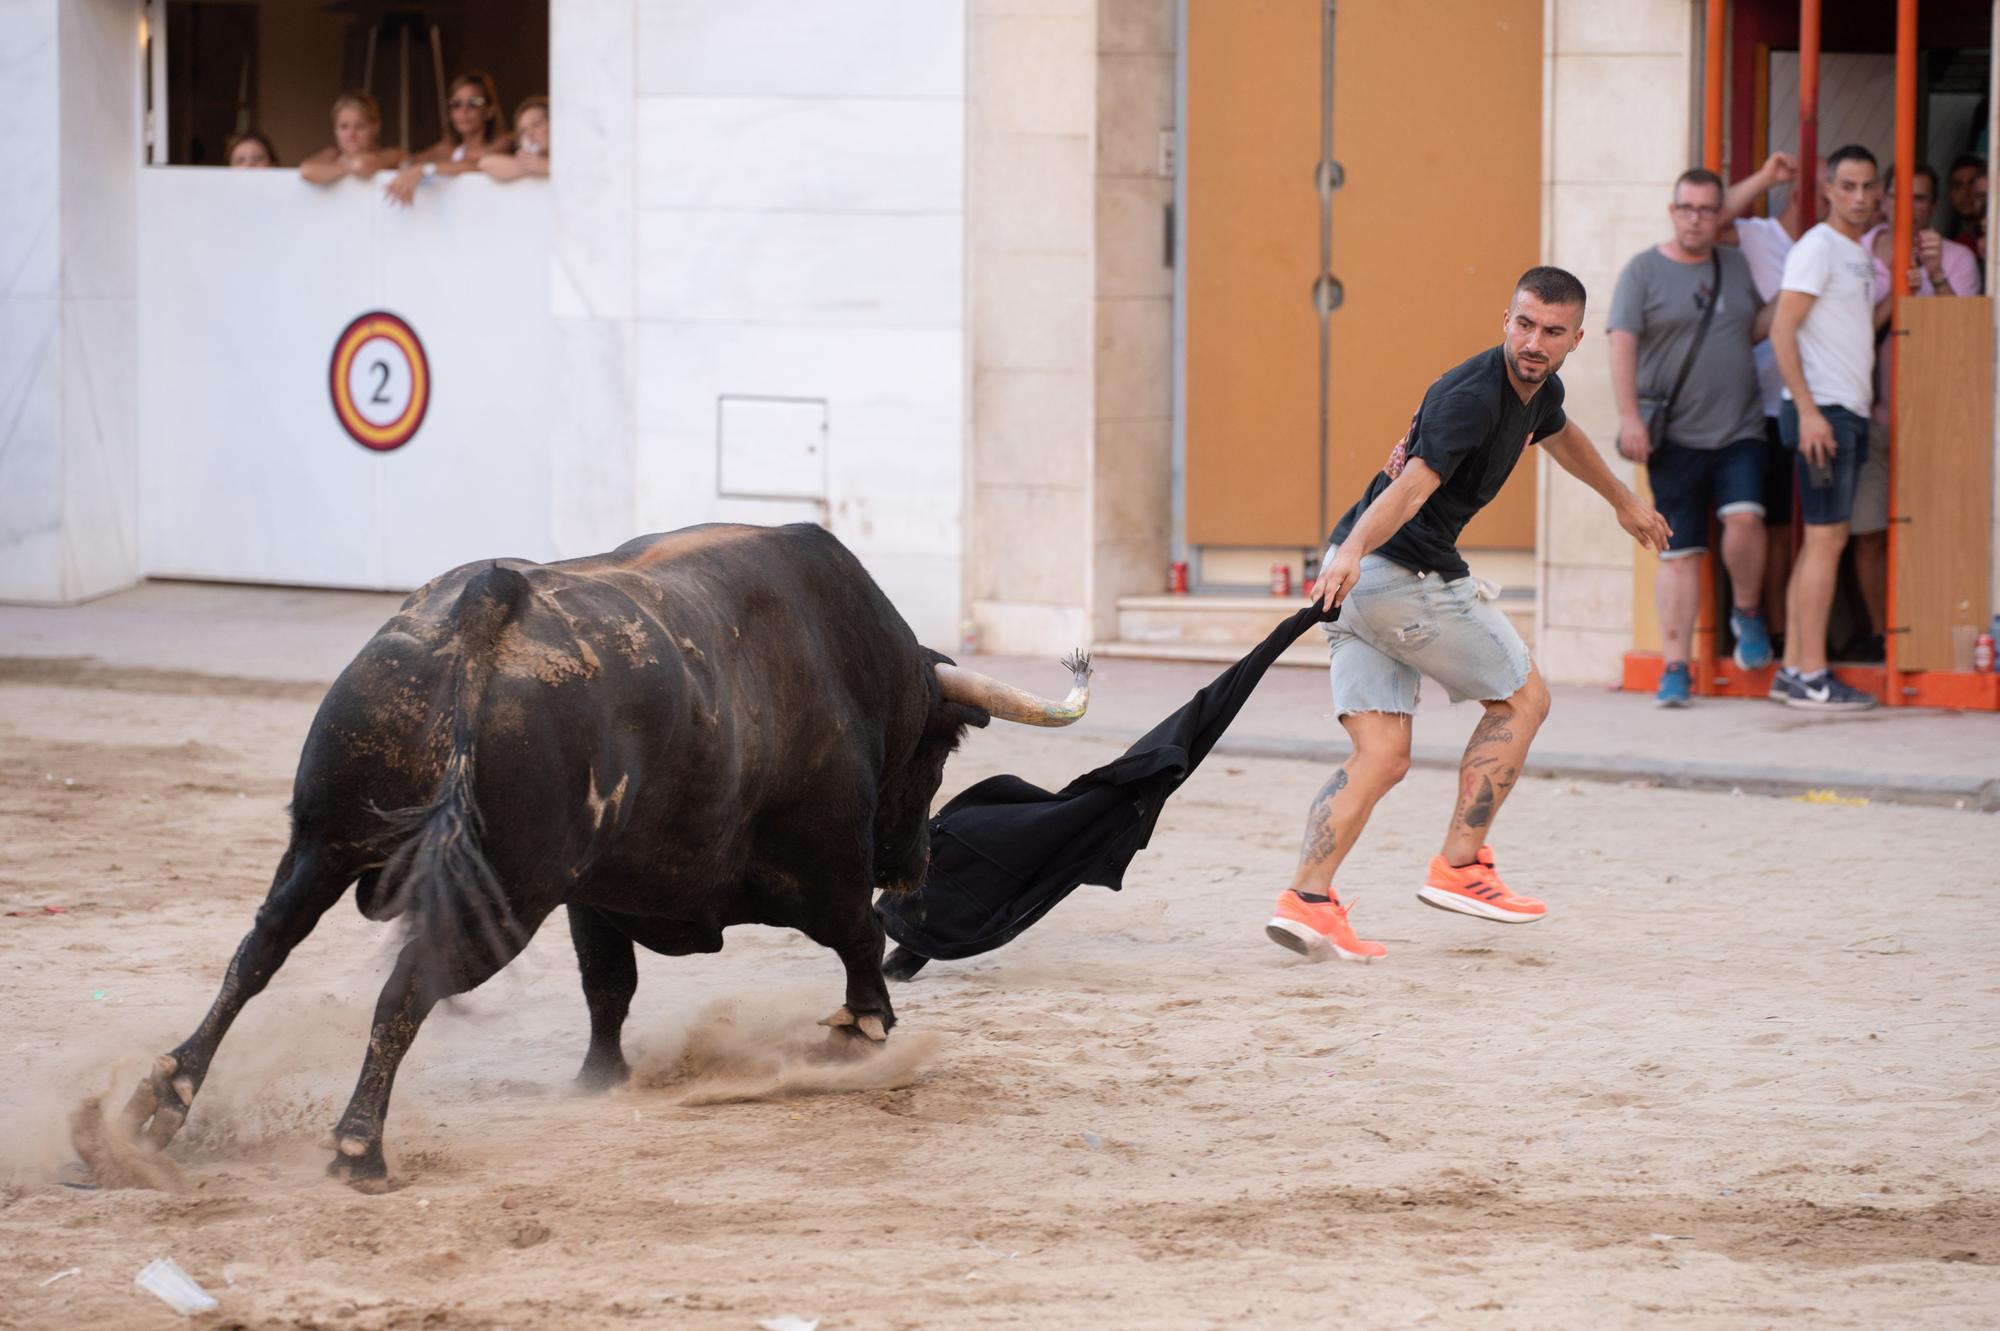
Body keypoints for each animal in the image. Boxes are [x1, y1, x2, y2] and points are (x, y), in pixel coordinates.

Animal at [113, 519, 1080, 1183]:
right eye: (941, 750)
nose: (913, 865)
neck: (851, 659)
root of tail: (483, 606)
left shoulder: (597, 897)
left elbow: (608, 985)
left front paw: (599, 1078)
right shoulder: (829, 866)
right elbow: (860, 946)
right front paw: (868, 1034)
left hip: (323, 839)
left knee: (260, 949)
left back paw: (157, 1103)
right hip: (500, 894)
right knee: (405, 989)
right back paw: (359, 1146)